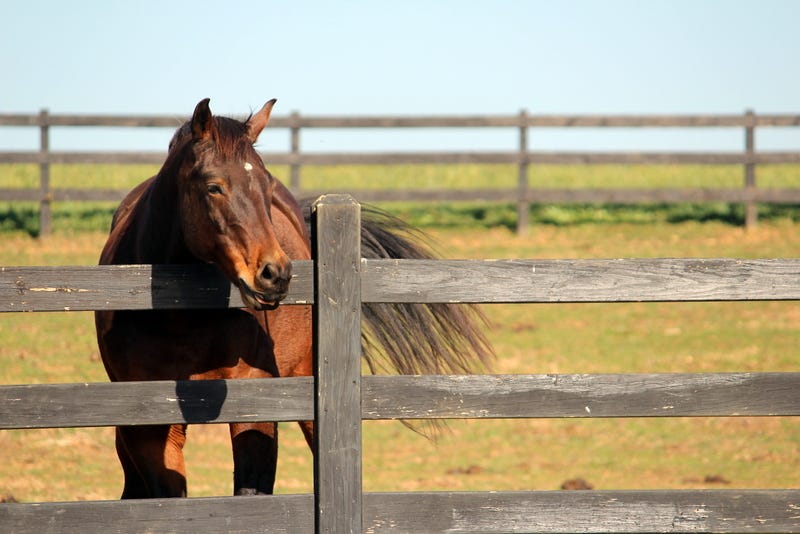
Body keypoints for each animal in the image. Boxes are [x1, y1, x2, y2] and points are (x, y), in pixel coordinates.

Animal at [95, 98, 492, 498]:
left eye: (266, 185)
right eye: (214, 187)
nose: (275, 273)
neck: (180, 318)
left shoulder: (255, 407)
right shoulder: (148, 425)